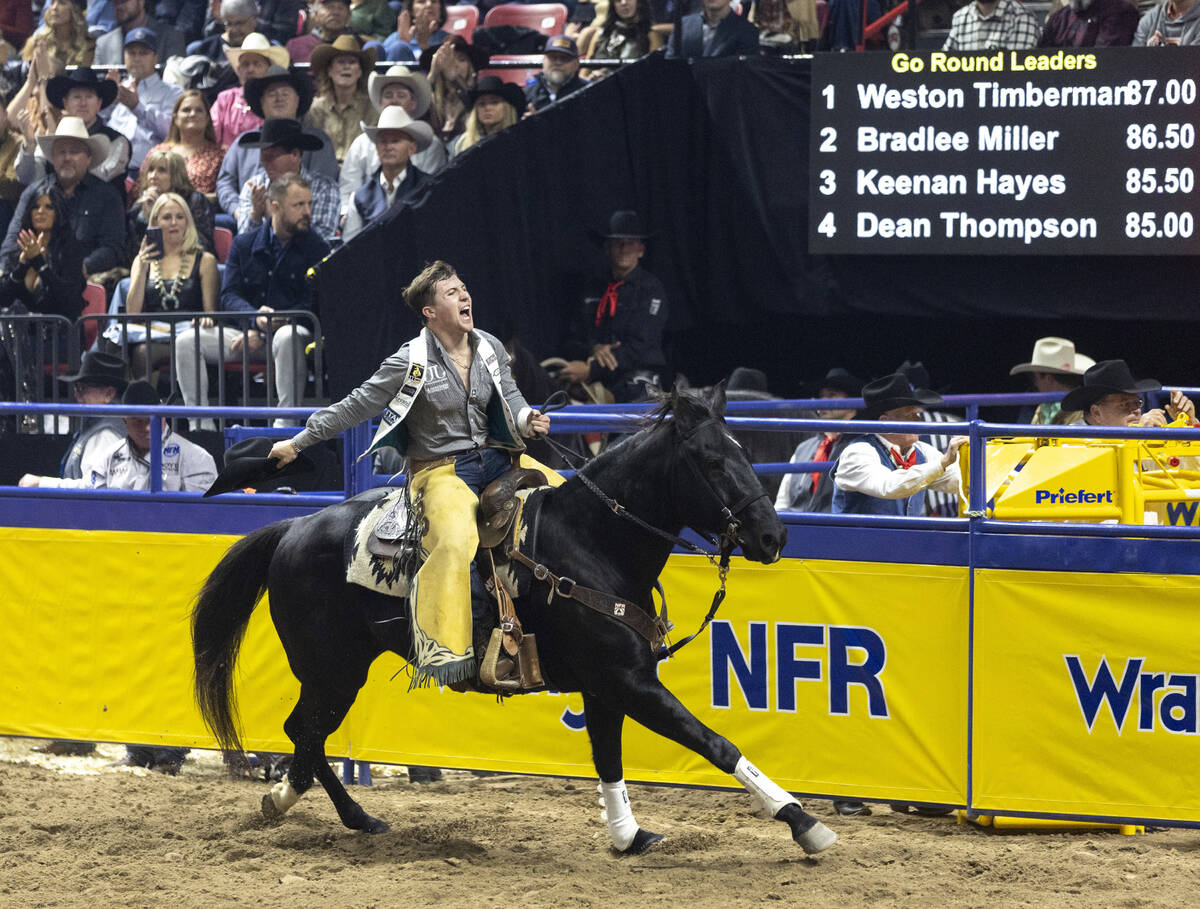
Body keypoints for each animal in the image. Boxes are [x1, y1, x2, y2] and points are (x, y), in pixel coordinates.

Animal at [192, 383, 840, 853]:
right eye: (711, 459)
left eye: (744, 452)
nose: (773, 536)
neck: (591, 541)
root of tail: (293, 527)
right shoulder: (629, 680)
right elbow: (715, 743)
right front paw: (803, 822)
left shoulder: (607, 685)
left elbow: (609, 758)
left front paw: (628, 835)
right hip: (332, 668)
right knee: (305, 732)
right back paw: (316, 807)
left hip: (336, 670)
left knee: (309, 736)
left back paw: (336, 811)